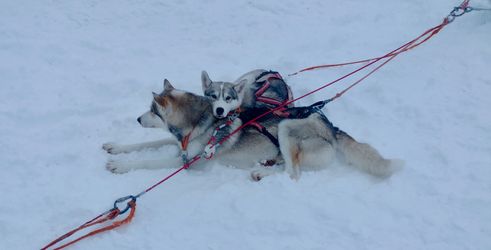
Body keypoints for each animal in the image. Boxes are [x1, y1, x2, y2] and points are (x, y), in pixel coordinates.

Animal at [103, 79, 400, 180]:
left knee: (293, 173)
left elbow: (150, 160)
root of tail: (329, 125)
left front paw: (121, 166)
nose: (138, 119)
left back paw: (261, 172)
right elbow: (144, 145)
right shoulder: (179, 146)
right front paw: (116, 147)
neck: (200, 121)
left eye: (153, 111)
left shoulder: (189, 161)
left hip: (286, 127)